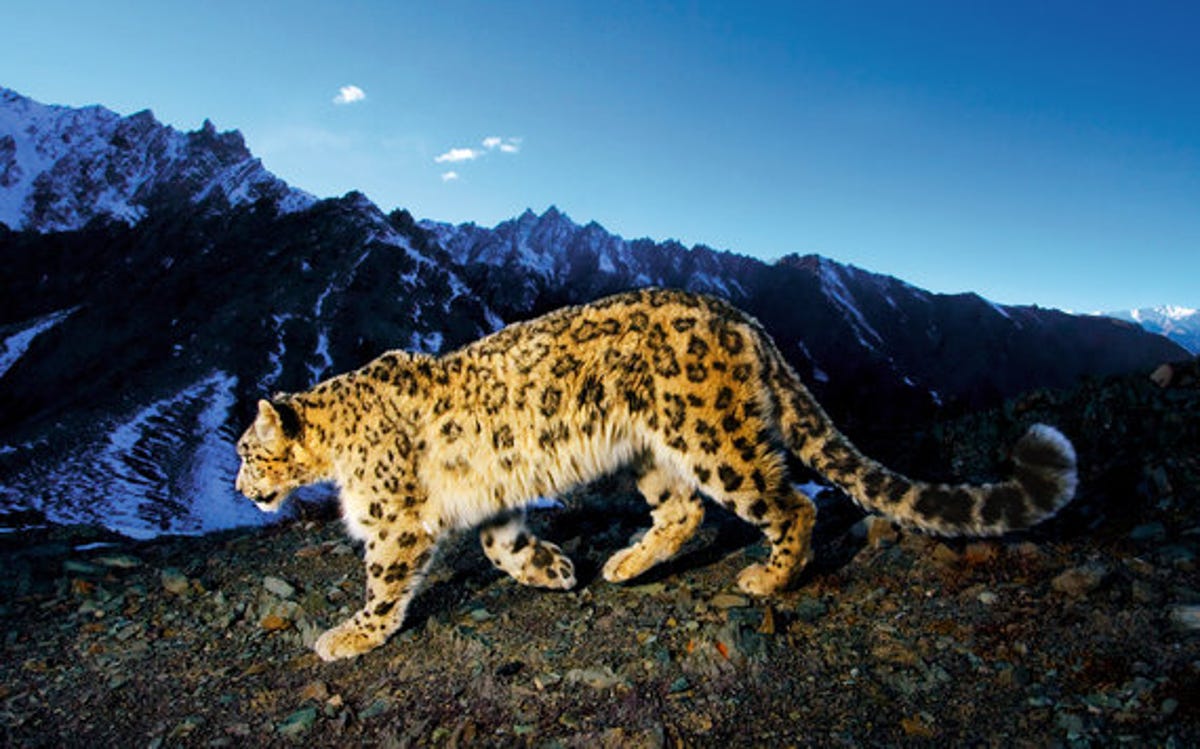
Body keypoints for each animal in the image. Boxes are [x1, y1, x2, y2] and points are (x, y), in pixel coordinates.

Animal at [235, 287, 1077, 661]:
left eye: (245, 450)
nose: (241, 488)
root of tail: (743, 318)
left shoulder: (393, 520)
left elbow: (384, 580)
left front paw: (349, 634)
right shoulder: (491, 500)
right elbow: (502, 544)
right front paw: (553, 569)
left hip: (713, 435)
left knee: (787, 504)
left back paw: (766, 577)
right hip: (652, 452)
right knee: (684, 512)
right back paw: (622, 563)